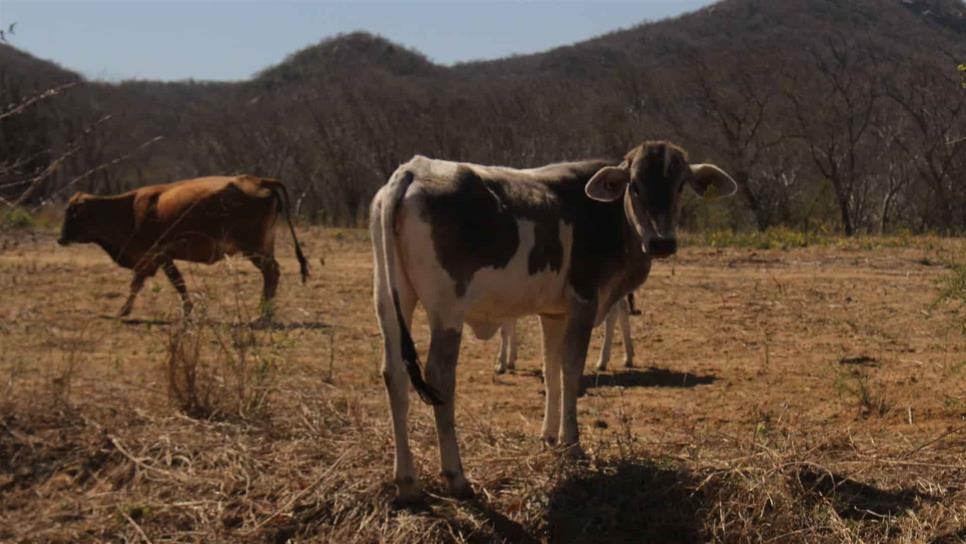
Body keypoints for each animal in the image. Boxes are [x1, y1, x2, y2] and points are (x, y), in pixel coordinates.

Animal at [55, 175, 310, 324]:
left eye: (73, 213)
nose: (60, 238)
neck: (129, 209)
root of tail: (259, 181)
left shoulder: (157, 254)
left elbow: (158, 282)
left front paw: (124, 311)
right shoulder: (159, 258)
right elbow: (162, 282)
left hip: (253, 248)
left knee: (270, 272)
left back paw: (263, 314)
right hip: (264, 247)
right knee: (272, 272)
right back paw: (265, 313)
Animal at [368, 140, 732, 502]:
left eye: (680, 185)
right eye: (635, 185)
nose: (662, 242)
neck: (608, 216)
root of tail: (413, 170)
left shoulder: (554, 313)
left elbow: (551, 369)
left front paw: (549, 437)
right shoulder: (584, 302)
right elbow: (571, 369)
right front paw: (572, 443)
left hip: (389, 301)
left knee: (394, 375)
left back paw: (407, 482)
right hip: (448, 312)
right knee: (440, 377)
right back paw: (456, 477)